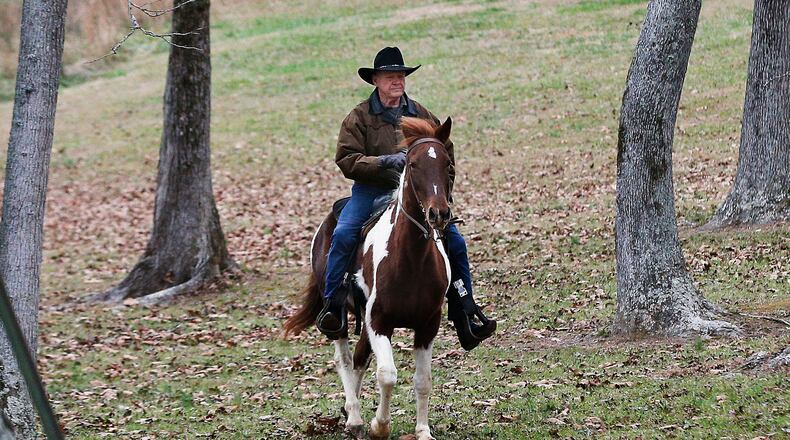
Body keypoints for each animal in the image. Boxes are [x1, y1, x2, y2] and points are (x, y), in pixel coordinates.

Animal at [284, 116, 455, 440]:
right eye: (413, 164)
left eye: (447, 163)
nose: (438, 213)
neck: (411, 260)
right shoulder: (379, 322)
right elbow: (386, 374)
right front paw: (379, 426)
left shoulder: (427, 325)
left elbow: (423, 380)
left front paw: (423, 431)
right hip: (339, 317)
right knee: (345, 358)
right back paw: (354, 417)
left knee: (360, 358)